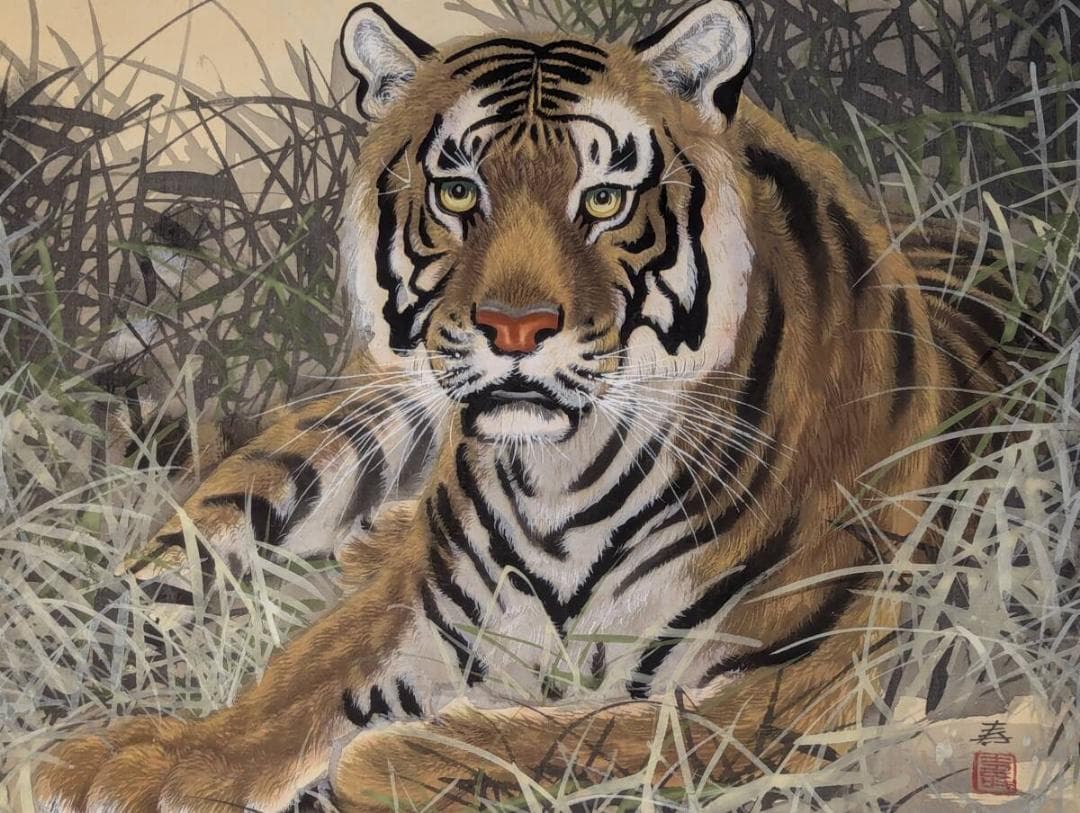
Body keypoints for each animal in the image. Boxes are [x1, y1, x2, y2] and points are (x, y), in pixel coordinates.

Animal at [33, 1, 1027, 811]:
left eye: (604, 198)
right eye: (458, 190)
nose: (516, 328)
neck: (565, 480)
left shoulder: (799, 682)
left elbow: (594, 735)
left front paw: (391, 757)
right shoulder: (417, 607)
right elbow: (296, 685)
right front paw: (142, 765)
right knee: (161, 573)